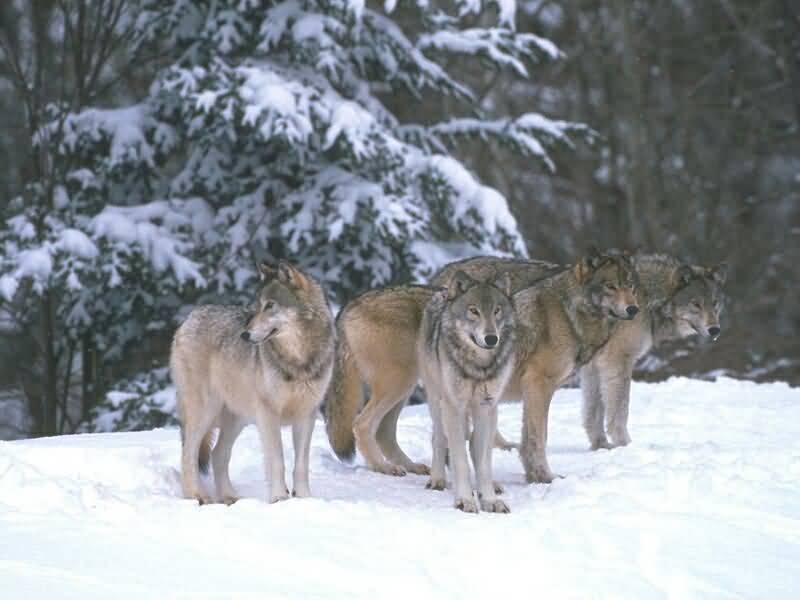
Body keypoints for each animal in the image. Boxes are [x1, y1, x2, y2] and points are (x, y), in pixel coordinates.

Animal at [172, 260, 334, 504]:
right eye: (257, 307)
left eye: (270, 306)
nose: (245, 335)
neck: (298, 360)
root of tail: (189, 318)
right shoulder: (268, 414)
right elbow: (277, 460)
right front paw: (279, 498)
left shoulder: (307, 414)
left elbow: (301, 464)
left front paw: (305, 499)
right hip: (206, 411)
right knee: (188, 453)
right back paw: (196, 496)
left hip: (238, 417)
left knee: (218, 454)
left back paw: (229, 497)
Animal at [418, 272, 520, 510]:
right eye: (474, 311)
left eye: (496, 310)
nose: (491, 338)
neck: (478, 366)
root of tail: (443, 291)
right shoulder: (453, 407)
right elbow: (460, 461)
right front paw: (464, 499)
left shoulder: (485, 406)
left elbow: (483, 462)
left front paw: (489, 499)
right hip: (437, 401)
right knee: (438, 438)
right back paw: (437, 479)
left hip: (491, 411)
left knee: (475, 443)